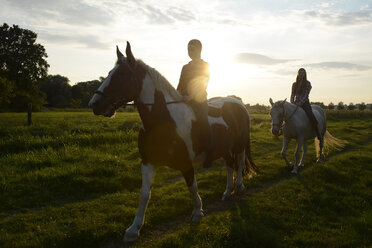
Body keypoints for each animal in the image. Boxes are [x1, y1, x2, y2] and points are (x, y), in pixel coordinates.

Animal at [88, 42, 258, 242]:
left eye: (121, 74)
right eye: (109, 73)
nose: (94, 104)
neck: (163, 120)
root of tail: (239, 104)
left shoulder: (186, 163)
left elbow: (192, 186)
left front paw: (198, 211)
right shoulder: (148, 163)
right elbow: (144, 195)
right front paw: (133, 229)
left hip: (239, 145)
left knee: (239, 163)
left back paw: (239, 187)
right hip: (224, 149)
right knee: (230, 165)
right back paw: (227, 192)